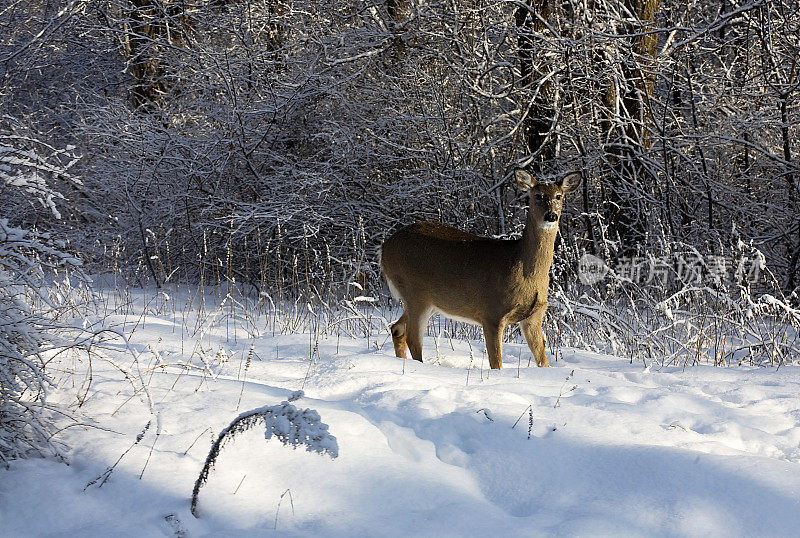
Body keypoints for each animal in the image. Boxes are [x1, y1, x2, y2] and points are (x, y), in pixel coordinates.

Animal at [378, 168, 580, 368]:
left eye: (559, 196)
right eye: (537, 195)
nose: (551, 215)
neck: (522, 268)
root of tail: (384, 248)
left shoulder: (533, 317)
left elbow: (543, 361)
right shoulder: (492, 313)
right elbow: (496, 363)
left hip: (428, 301)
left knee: (397, 329)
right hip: (415, 292)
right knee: (412, 338)